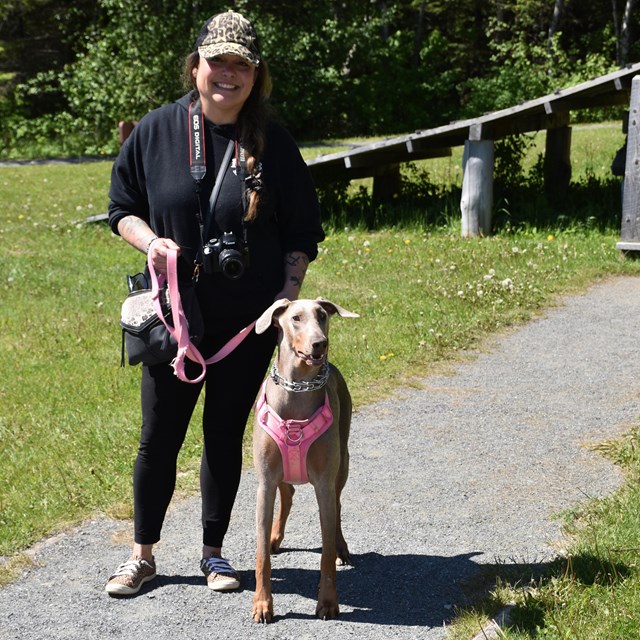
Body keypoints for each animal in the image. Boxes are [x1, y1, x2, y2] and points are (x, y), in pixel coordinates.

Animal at [251, 298, 360, 624]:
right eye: (296, 318)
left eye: (322, 315)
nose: (320, 344)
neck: (296, 393)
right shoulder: (264, 482)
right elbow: (261, 554)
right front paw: (262, 604)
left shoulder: (323, 482)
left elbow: (325, 552)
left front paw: (327, 603)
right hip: (280, 474)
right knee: (287, 493)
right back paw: (275, 537)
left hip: (343, 462)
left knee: (337, 507)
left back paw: (341, 548)